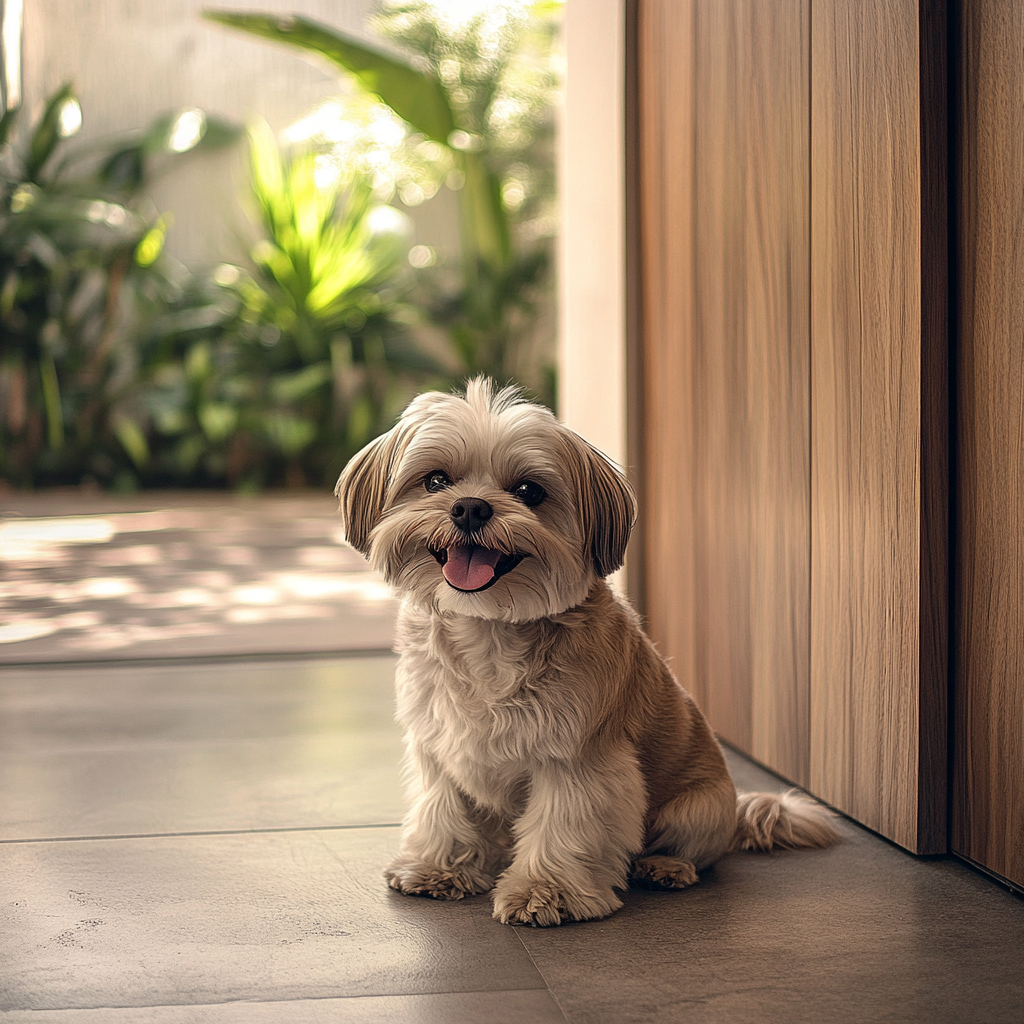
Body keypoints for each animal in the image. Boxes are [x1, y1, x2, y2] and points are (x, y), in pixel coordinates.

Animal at [335, 378, 839, 929]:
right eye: (435, 480)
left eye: (529, 491)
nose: (470, 507)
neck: (489, 630)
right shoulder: (440, 751)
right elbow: (444, 811)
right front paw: (440, 867)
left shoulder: (580, 761)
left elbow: (563, 827)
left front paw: (546, 892)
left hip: (697, 808)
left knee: (696, 852)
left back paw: (665, 868)